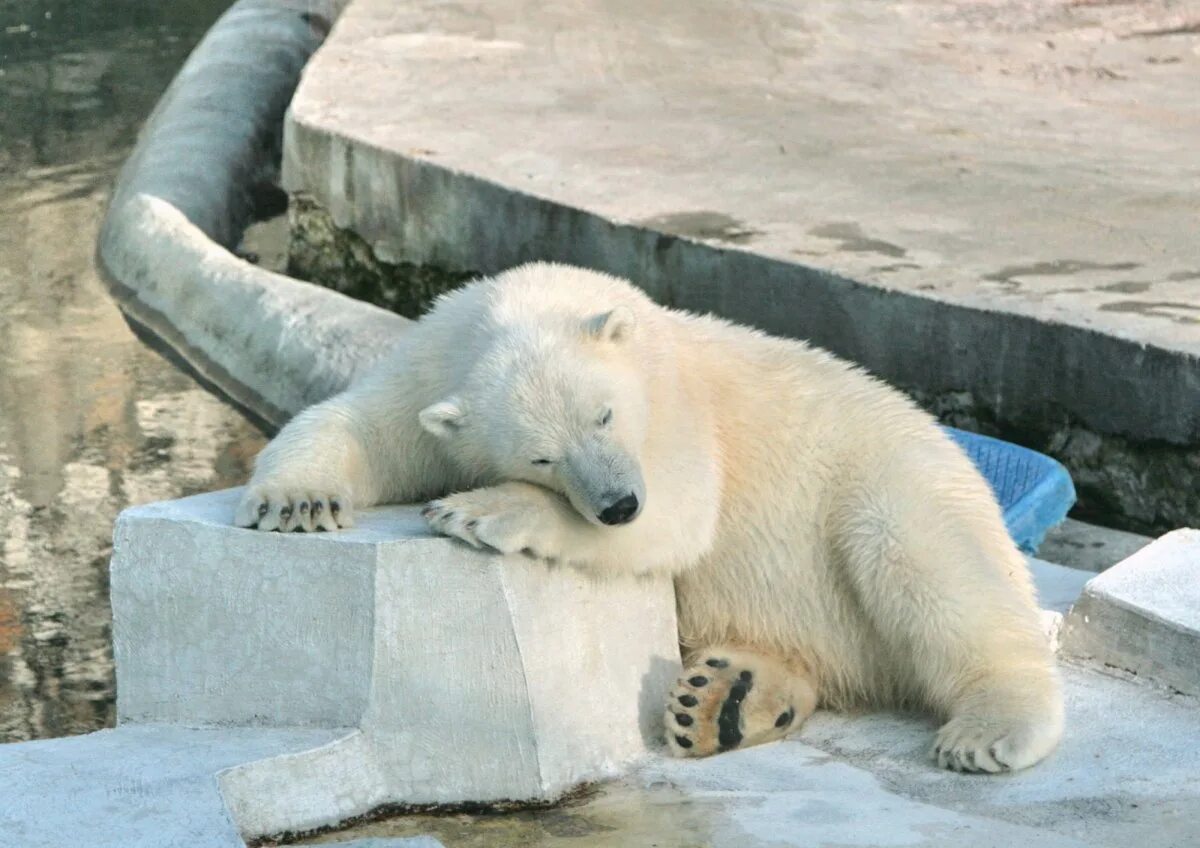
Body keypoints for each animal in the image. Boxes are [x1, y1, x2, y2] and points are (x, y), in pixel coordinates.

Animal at [238, 261, 1065, 772]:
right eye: (541, 455)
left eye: (604, 415)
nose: (616, 504)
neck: (519, 311)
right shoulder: (431, 365)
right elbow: (362, 425)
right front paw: (298, 499)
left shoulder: (672, 389)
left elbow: (683, 507)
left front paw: (481, 512)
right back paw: (727, 700)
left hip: (896, 480)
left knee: (929, 566)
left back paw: (990, 728)